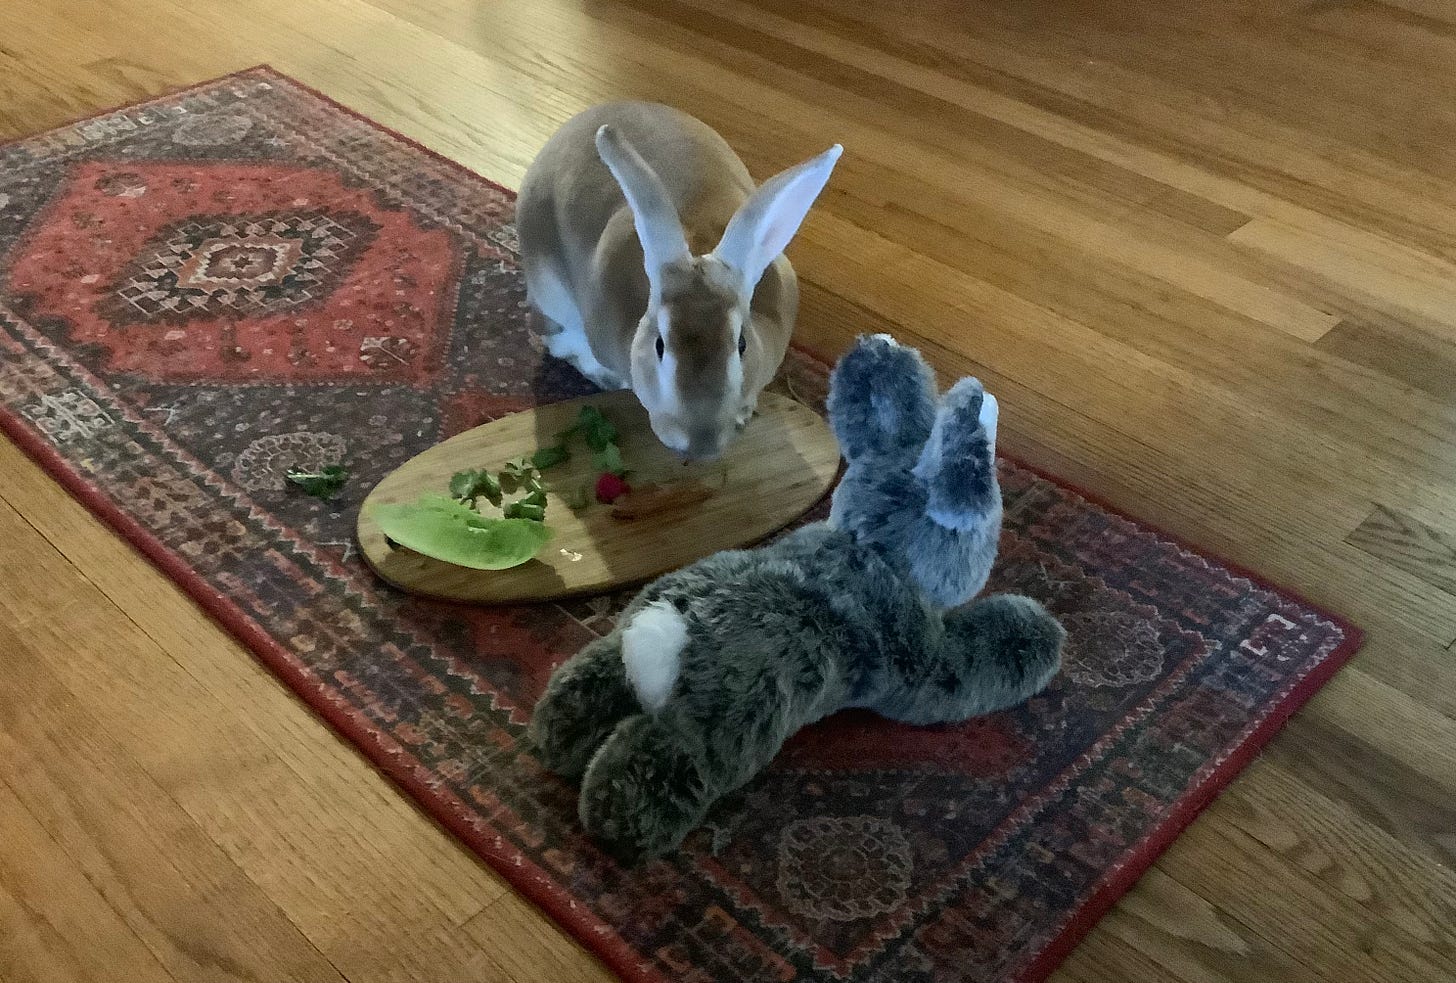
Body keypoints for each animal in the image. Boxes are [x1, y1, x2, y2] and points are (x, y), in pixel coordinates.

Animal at [529, 334, 1065, 856]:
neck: (870, 547)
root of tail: (664, 634)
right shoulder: (921, 659)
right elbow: (976, 661)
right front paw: (1040, 633)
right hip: (716, 723)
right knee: (658, 757)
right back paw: (617, 821)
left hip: (615, 654)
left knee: (587, 690)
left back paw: (556, 735)